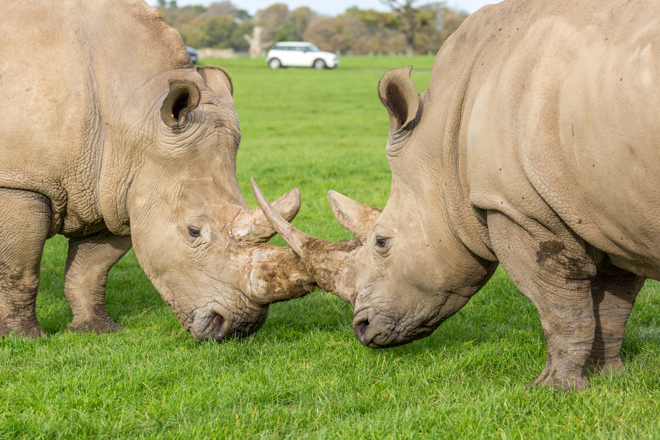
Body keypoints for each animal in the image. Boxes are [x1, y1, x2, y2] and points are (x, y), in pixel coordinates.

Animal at [0, 0, 314, 340]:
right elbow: (21, 269)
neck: (137, 114)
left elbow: (92, 268)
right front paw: (25, 337)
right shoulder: (21, 183)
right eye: (193, 231)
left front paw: (98, 330)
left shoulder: (115, 190)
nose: (238, 328)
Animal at [255, 0, 660, 388]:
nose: (361, 330)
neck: (443, 138)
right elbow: (612, 307)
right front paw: (610, 378)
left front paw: (551, 388)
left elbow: (559, 309)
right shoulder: (609, 215)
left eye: (382, 242)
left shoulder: (518, 209)